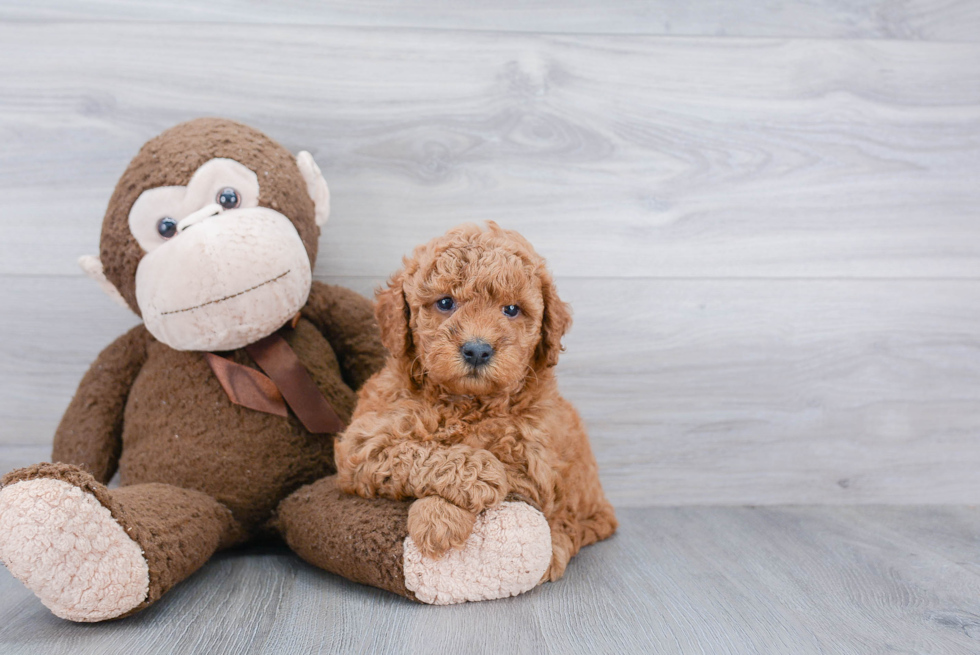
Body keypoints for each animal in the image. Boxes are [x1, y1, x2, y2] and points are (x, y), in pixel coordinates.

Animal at [334, 223, 616, 580]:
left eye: (511, 309)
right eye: (445, 302)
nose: (478, 350)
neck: (467, 403)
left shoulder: (535, 466)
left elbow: (506, 471)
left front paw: (437, 516)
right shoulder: (362, 444)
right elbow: (413, 450)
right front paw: (472, 482)